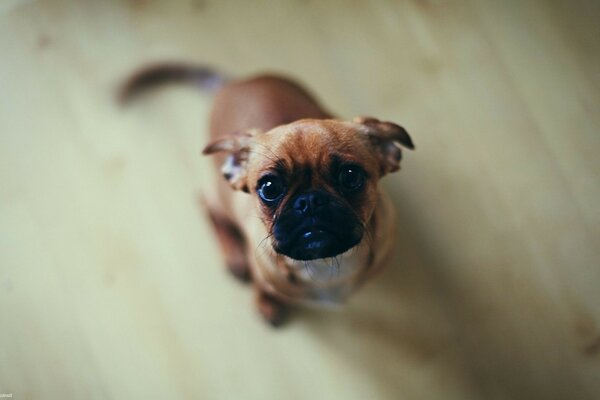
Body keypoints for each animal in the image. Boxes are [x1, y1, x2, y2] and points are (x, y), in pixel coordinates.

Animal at [119, 64, 414, 326]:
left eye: (351, 177)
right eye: (269, 188)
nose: (310, 202)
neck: (324, 263)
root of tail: (236, 82)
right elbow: (261, 285)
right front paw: (266, 302)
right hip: (220, 197)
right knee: (207, 207)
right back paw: (234, 257)